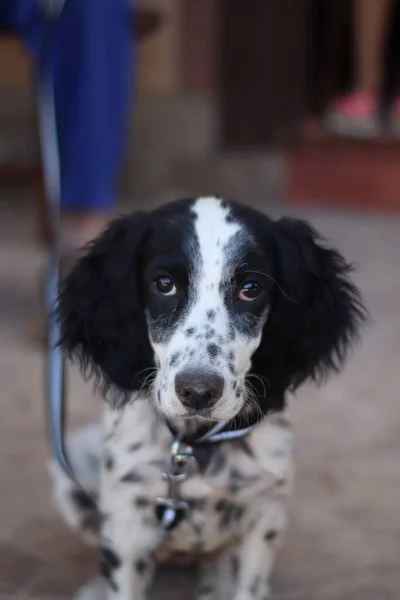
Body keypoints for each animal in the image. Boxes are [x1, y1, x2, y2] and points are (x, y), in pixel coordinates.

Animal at [53, 198, 366, 600]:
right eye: (164, 284)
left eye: (250, 288)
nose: (198, 392)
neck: (194, 445)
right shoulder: (126, 521)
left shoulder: (264, 515)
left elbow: (249, 586)